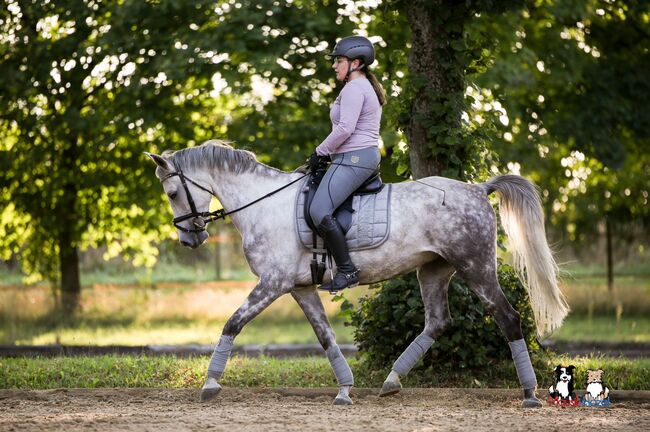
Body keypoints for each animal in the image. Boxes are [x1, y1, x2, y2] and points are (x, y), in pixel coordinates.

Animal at [144, 140, 564, 406]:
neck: (262, 205)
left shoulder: (273, 283)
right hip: (433, 270)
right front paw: (345, 389)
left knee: (508, 318)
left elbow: (232, 323)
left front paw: (210, 383)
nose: (189, 238)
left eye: (172, 193)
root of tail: (478, 189)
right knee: (438, 321)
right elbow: (325, 336)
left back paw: (529, 395)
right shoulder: (299, 287)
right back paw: (391, 381)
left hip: (476, 268)